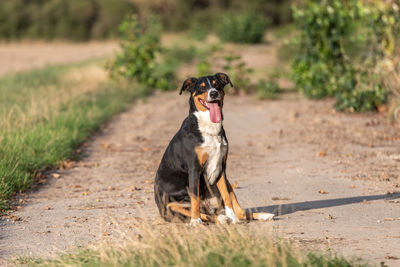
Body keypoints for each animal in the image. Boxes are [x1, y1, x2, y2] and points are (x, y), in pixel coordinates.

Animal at [154, 72, 276, 225]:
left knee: (239, 212)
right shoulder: (194, 168)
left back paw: (259, 216)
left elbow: (227, 197)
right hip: (172, 206)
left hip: (227, 183)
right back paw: (217, 218)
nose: (213, 93)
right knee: (204, 213)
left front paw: (232, 217)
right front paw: (195, 220)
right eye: (201, 87)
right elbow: (195, 198)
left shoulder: (221, 167)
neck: (209, 128)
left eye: (217, 85)